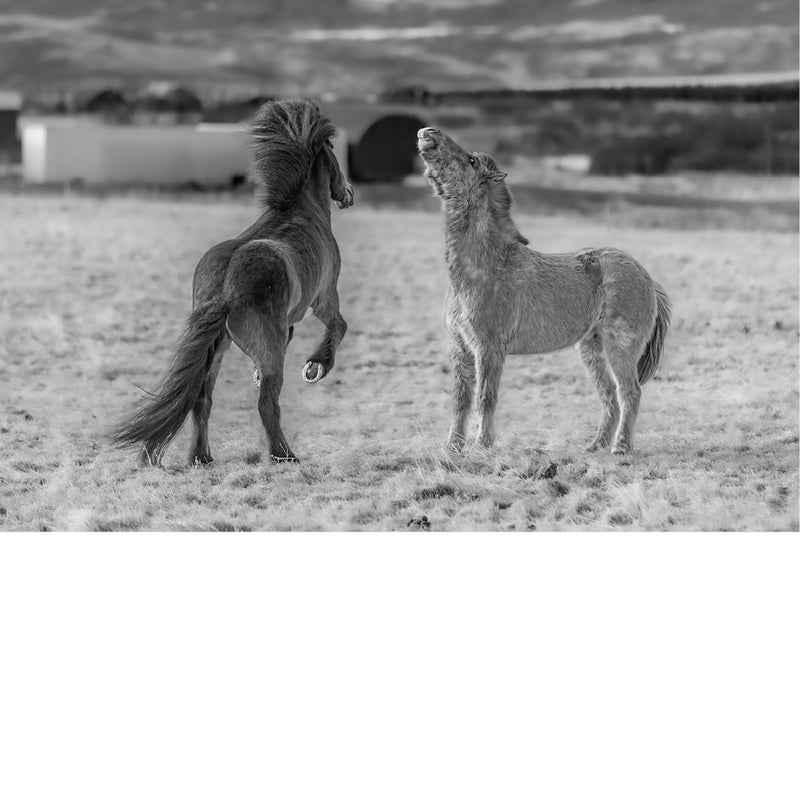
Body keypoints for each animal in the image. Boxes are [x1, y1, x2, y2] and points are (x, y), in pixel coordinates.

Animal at [113, 98, 354, 465]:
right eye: (334, 155)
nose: (348, 193)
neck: (301, 211)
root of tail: (224, 291)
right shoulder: (324, 297)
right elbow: (339, 326)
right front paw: (316, 367)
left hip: (217, 350)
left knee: (201, 401)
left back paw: (202, 457)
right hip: (262, 351)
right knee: (266, 403)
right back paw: (284, 455)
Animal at [417, 127, 671, 455]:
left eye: (471, 160)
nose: (427, 133)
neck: (483, 264)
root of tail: (647, 277)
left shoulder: (488, 349)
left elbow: (486, 396)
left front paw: (483, 445)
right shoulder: (459, 348)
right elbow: (460, 399)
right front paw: (453, 447)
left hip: (619, 347)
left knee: (629, 392)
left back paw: (621, 448)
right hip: (590, 349)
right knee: (608, 396)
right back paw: (595, 446)